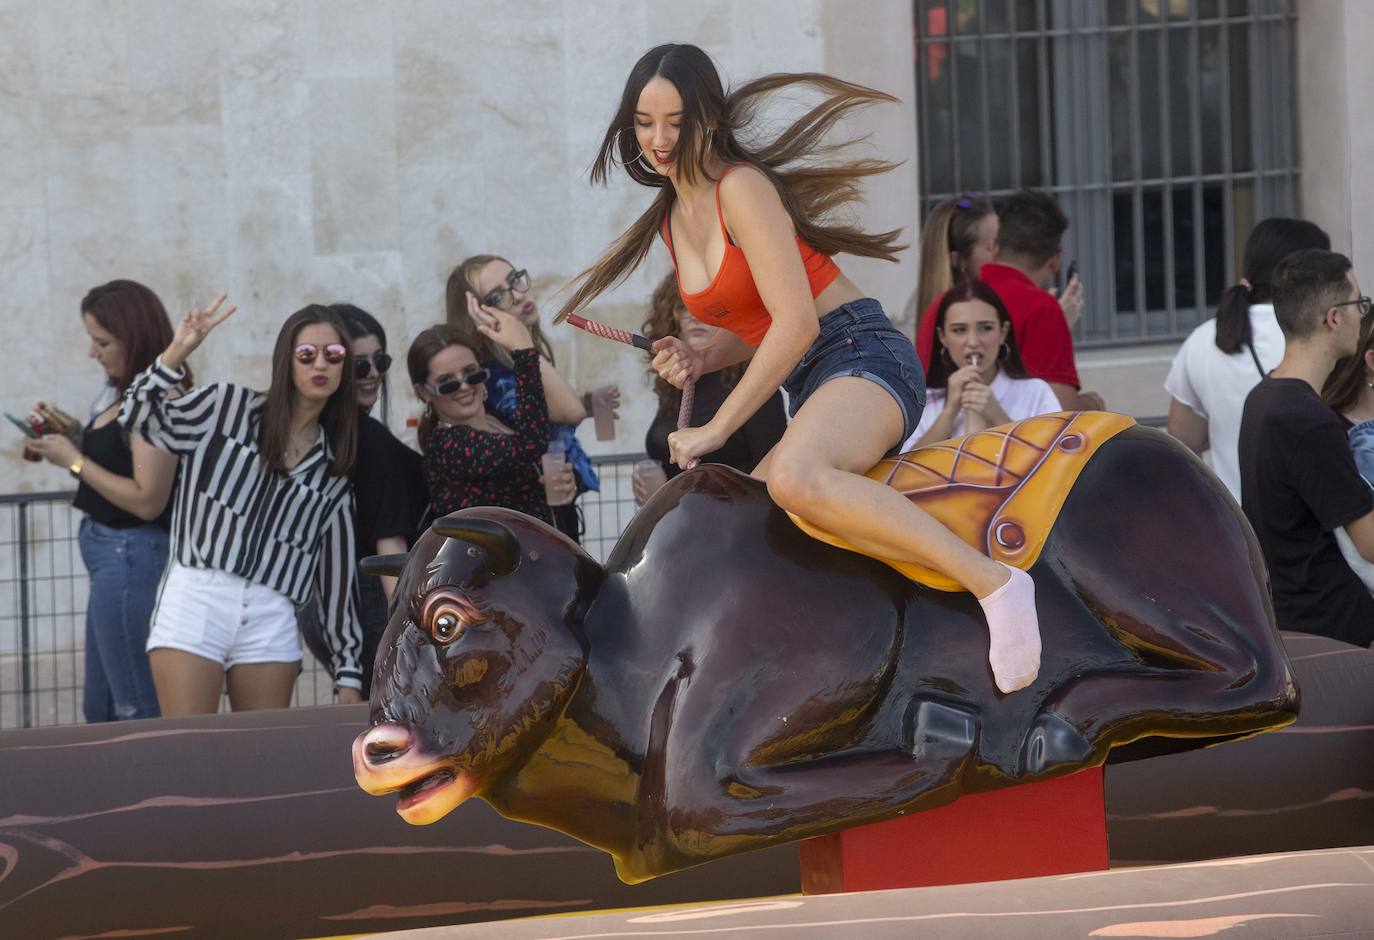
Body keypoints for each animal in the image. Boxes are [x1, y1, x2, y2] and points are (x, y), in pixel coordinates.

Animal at [351, 415, 1297, 885]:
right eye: (386, 626)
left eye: (446, 621)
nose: (374, 750)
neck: (627, 639)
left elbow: (698, 810)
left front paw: (946, 740)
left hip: (1127, 560)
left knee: (1263, 680)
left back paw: (1053, 722)